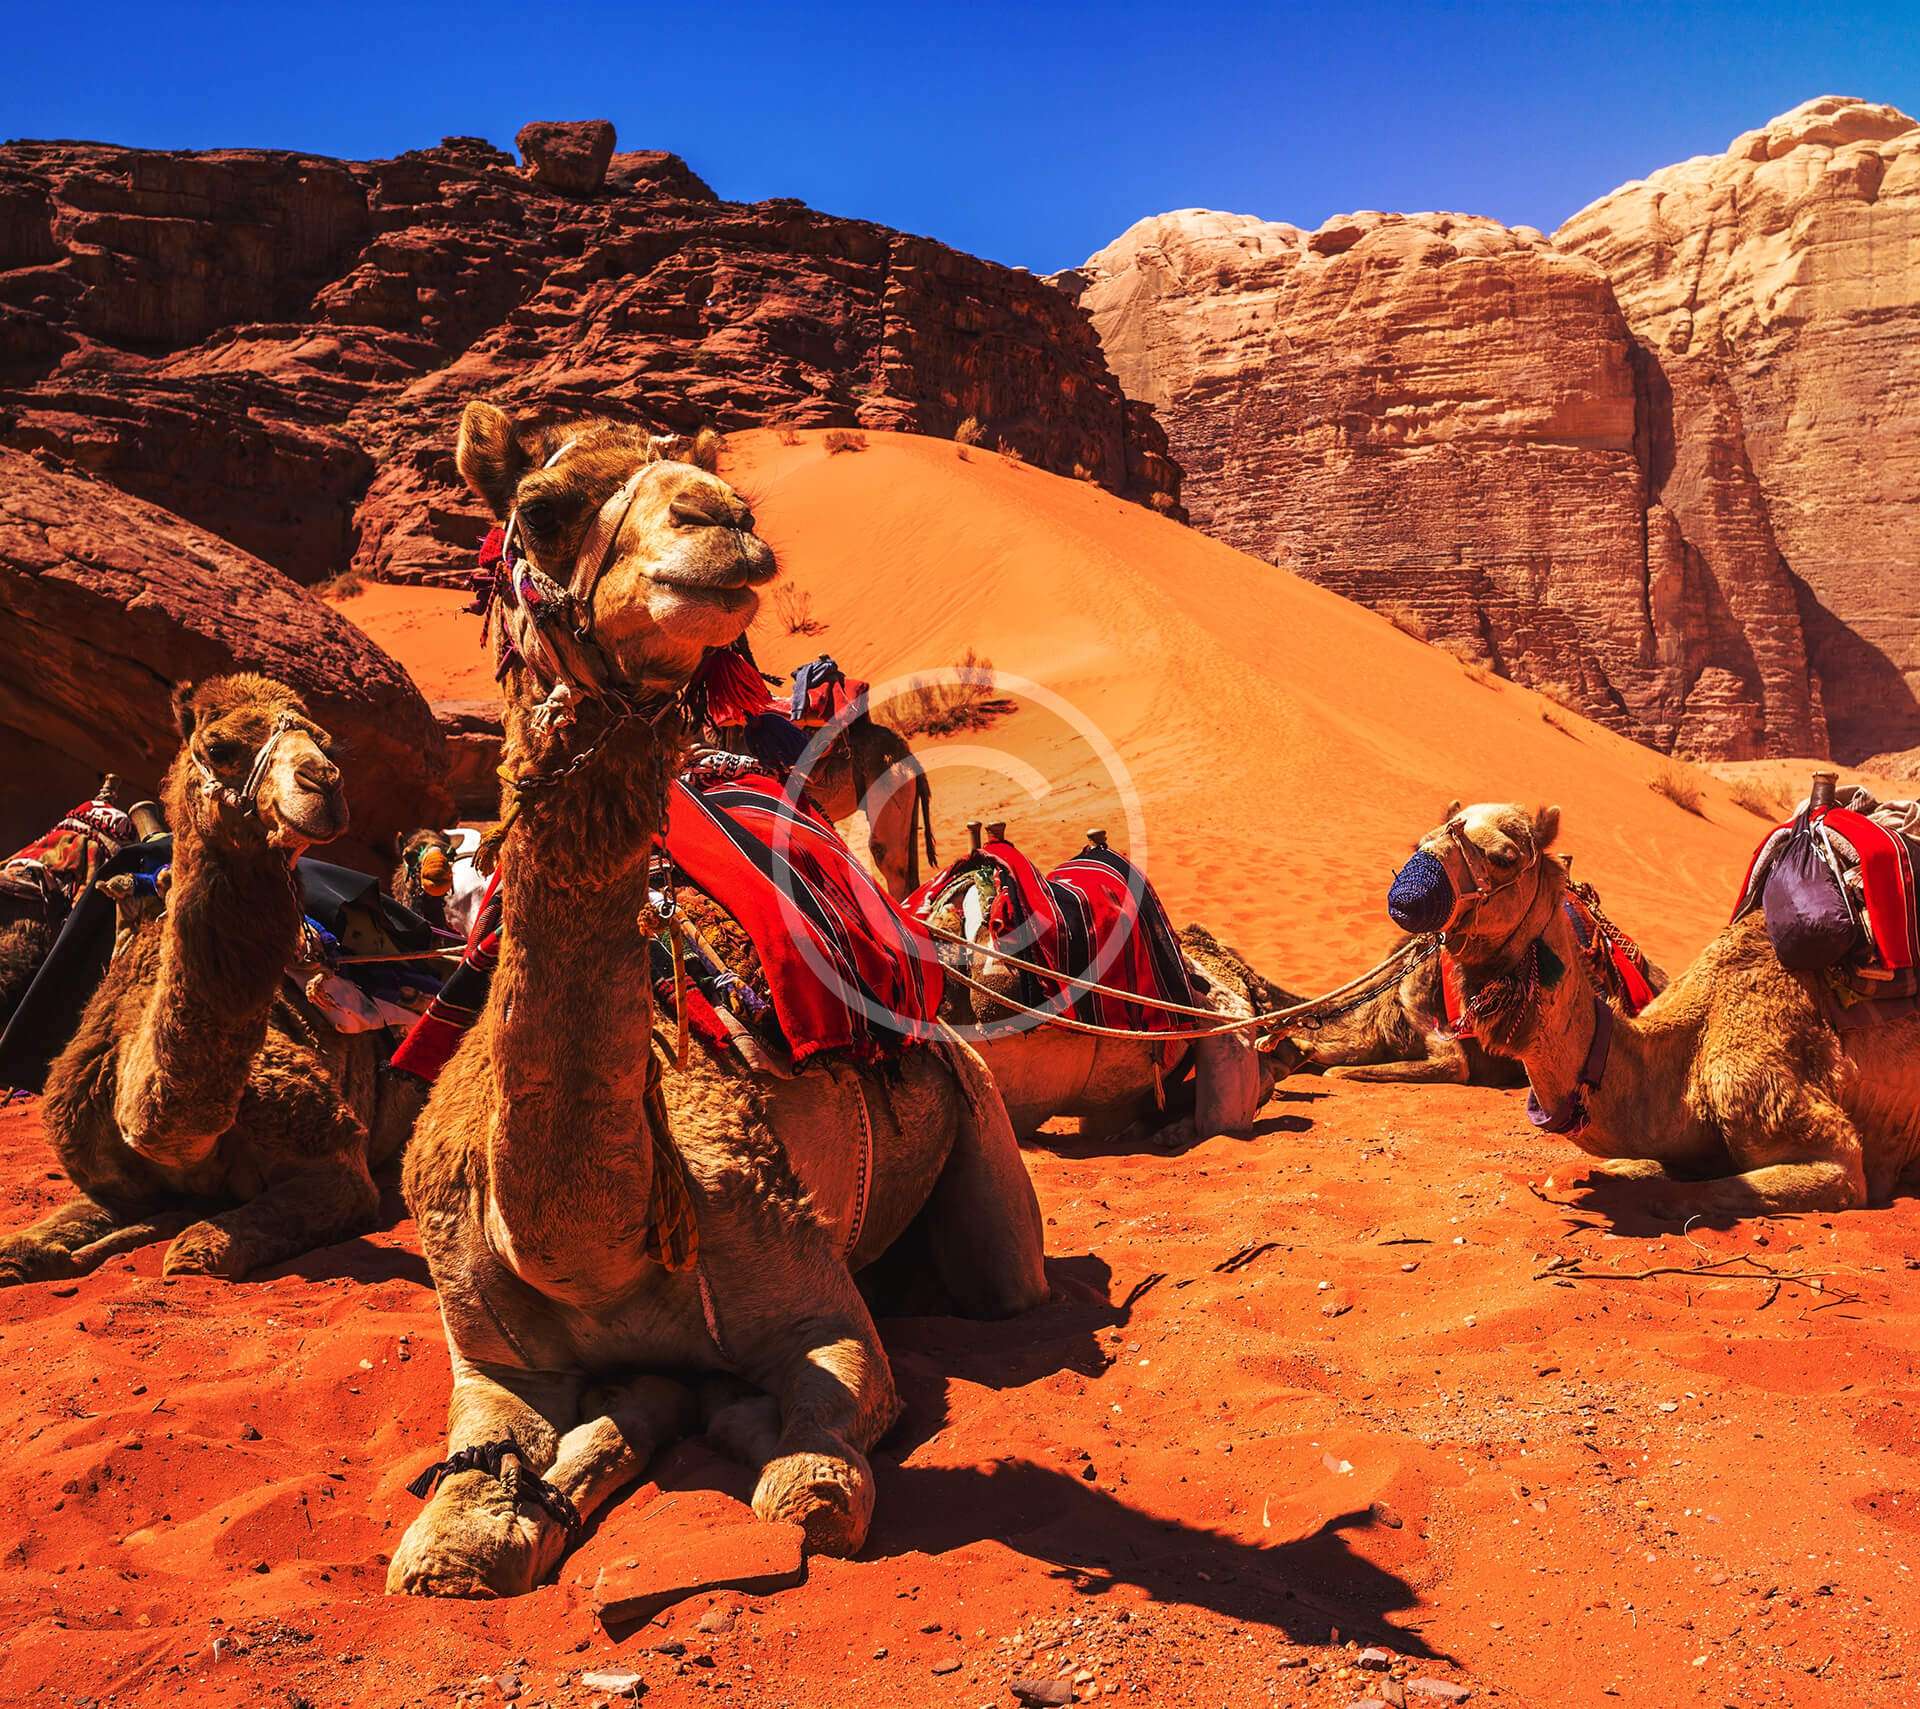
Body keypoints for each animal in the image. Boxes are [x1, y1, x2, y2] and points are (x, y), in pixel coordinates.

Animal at [0, 675, 422, 1287]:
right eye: (219, 747)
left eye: (325, 743)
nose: (323, 783)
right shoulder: (108, 1183)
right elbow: (23, 1246)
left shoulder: (338, 1165)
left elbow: (201, 1251)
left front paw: (185, 1238)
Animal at [387, 403, 1046, 1599]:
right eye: (540, 507)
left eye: (717, 492)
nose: (722, 520)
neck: (589, 1248)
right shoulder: (484, 1350)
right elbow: (448, 1532)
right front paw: (491, 1520)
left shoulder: (818, 1306)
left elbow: (812, 1482)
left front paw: (729, 1427)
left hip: (981, 1131)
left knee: (1003, 1281)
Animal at [1393, 801, 1920, 1217]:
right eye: (1422, 840)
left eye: (1504, 857)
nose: (1408, 895)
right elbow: (1618, 1165)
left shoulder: (1810, 1135)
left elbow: (1687, 1194)